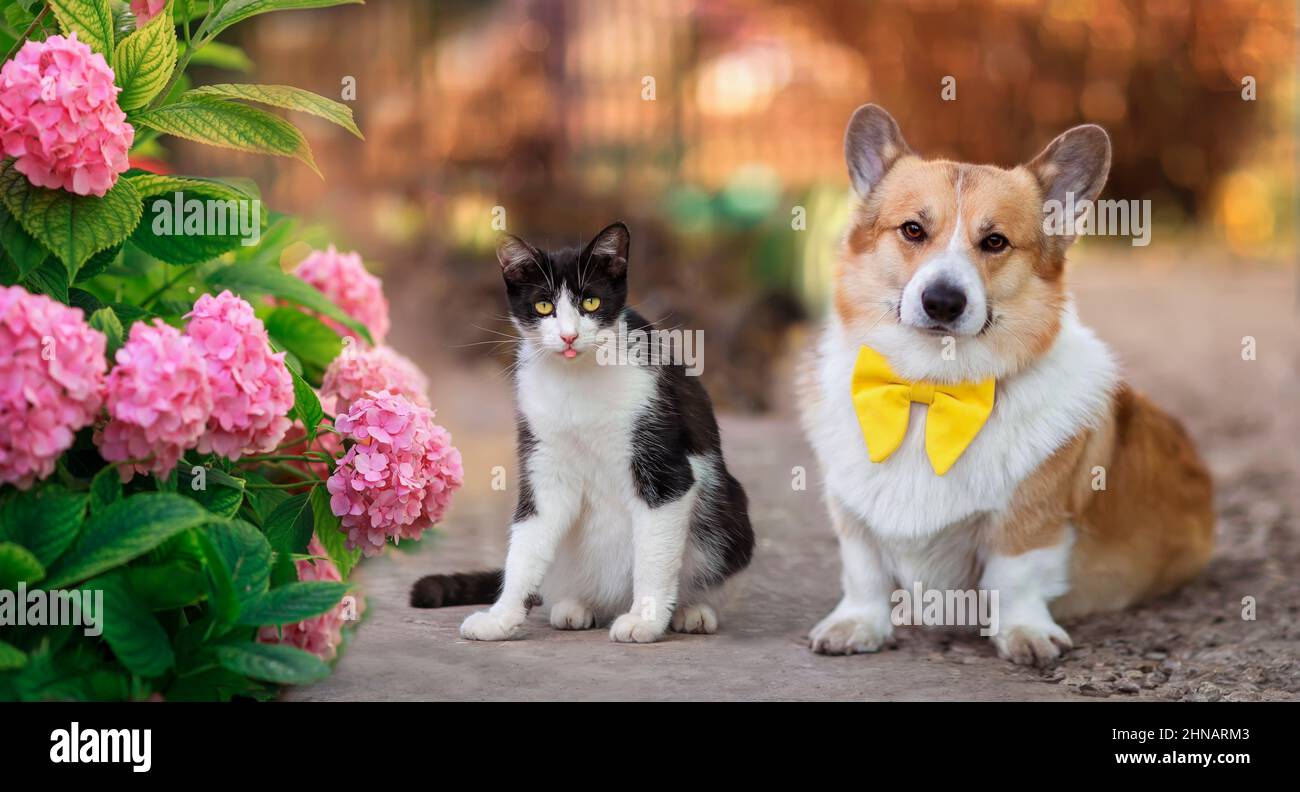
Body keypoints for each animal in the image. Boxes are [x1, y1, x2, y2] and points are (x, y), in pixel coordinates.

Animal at [405, 222, 754, 642]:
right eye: (544, 306)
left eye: (590, 302)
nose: (569, 336)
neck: (577, 381)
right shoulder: (544, 459)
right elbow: (526, 545)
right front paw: (500, 618)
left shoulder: (664, 464)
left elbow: (654, 554)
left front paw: (646, 620)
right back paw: (575, 607)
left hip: (726, 512)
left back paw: (692, 611)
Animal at [795, 103, 1211, 660]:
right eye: (912, 230)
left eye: (995, 242)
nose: (943, 301)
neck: (932, 390)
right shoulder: (853, 517)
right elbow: (864, 572)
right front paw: (858, 624)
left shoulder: (1030, 522)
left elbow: (1015, 577)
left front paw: (1024, 632)